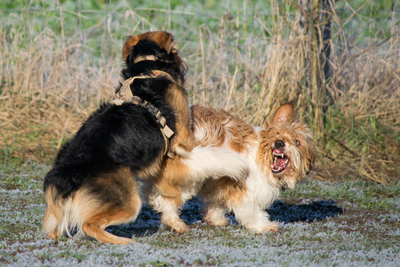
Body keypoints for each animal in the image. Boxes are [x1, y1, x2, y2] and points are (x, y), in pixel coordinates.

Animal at [41, 30, 195, 245]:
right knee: (88, 225)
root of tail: (68, 171)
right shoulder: (184, 137)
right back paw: (124, 241)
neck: (148, 64)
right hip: (127, 200)